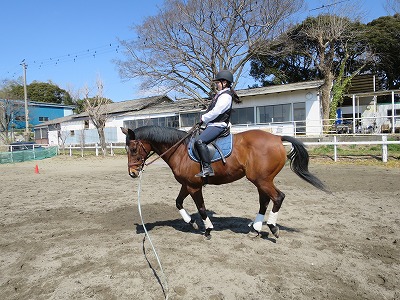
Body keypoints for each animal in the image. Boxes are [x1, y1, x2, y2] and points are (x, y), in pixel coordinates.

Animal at [120, 125, 326, 240]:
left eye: (133, 148)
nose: (132, 173)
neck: (179, 150)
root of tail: (276, 137)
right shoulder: (186, 185)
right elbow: (178, 202)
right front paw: (190, 222)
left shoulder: (194, 187)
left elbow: (202, 208)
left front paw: (208, 229)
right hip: (261, 180)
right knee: (264, 201)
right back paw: (256, 228)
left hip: (262, 180)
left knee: (278, 198)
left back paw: (272, 227)